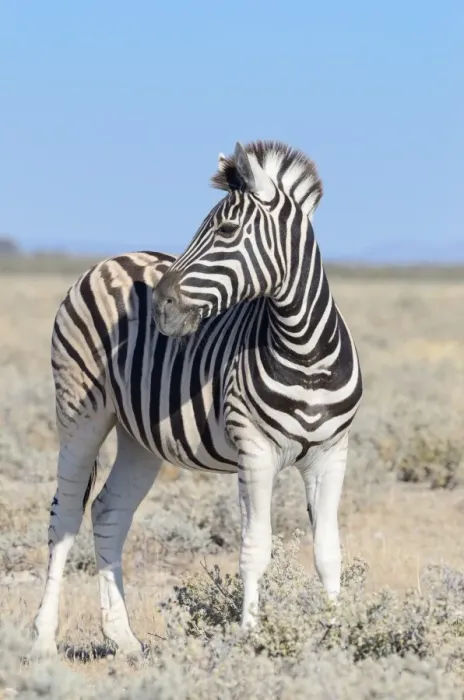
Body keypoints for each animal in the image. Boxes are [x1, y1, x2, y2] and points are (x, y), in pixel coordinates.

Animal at [31, 140, 363, 657]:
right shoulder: (255, 451)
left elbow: (329, 552)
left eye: (226, 230)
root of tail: (110, 260)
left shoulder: (332, 454)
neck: (305, 351)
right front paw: (250, 640)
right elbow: (255, 548)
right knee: (64, 516)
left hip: (139, 437)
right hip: (79, 414)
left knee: (108, 511)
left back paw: (122, 637)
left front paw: (334, 640)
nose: (159, 304)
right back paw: (43, 640)